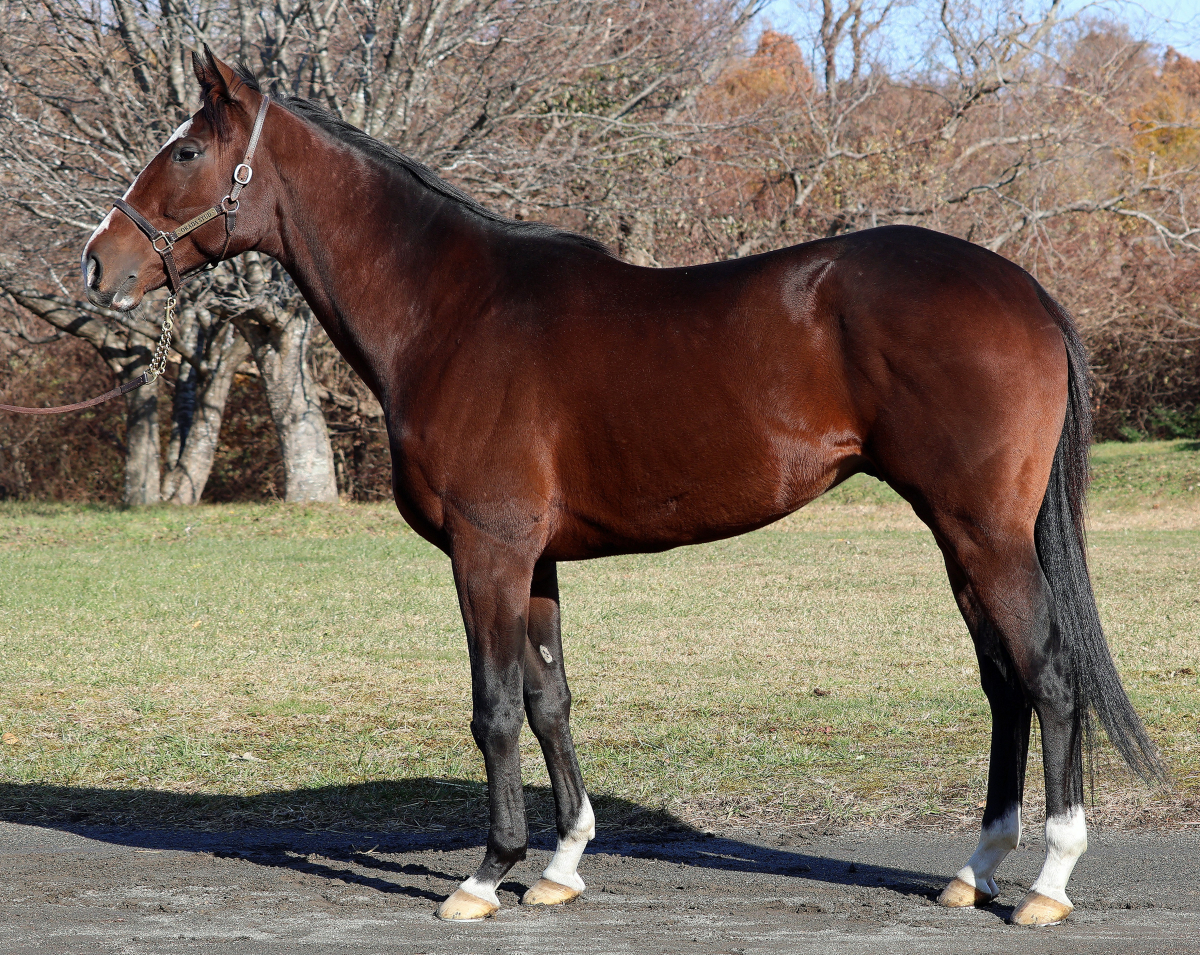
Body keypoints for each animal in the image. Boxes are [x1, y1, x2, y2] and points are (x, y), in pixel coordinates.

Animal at [82, 48, 1161, 925]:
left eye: (185, 150)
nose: (99, 264)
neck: (453, 311)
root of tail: (1023, 289)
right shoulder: (538, 559)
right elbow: (552, 699)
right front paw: (560, 865)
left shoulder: (488, 551)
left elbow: (494, 707)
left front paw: (487, 874)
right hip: (958, 533)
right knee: (1004, 682)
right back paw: (975, 870)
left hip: (985, 530)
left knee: (1048, 674)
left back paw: (1048, 881)